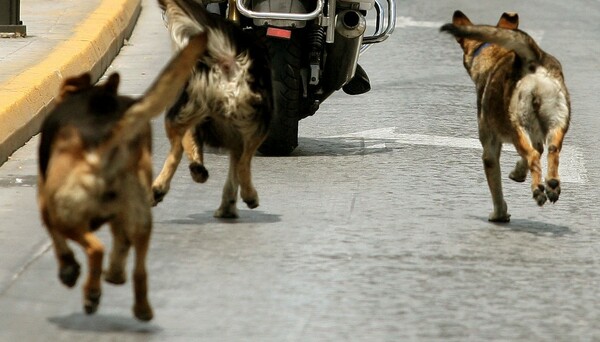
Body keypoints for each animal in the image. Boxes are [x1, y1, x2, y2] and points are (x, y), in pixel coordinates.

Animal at [38, 33, 206, 320]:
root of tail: (105, 146)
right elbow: (121, 242)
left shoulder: (46, 204)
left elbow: (59, 243)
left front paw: (68, 269)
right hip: (140, 219)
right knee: (139, 268)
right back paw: (139, 305)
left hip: (66, 214)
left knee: (96, 249)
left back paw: (92, 293)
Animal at [151, 0, 274, 219]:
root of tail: (226, 59)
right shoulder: (236, 139)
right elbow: (233, 172)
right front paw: (228, 206)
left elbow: (190, 146)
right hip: (257, 122)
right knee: (243, 164)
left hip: (180, 113)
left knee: (176, 152)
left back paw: (161, 187)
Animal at [440, 10, 572, 222]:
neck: (495, 55)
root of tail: (532, 58)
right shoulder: (535, 135)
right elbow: (534, 153)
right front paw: (518, 172)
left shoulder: (490, 149)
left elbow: (497, 189)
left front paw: (499, 214)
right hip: (556, 125)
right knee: (550, 152)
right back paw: (552, 184)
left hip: (517, 127)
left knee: (533, 156)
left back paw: (538, 190)